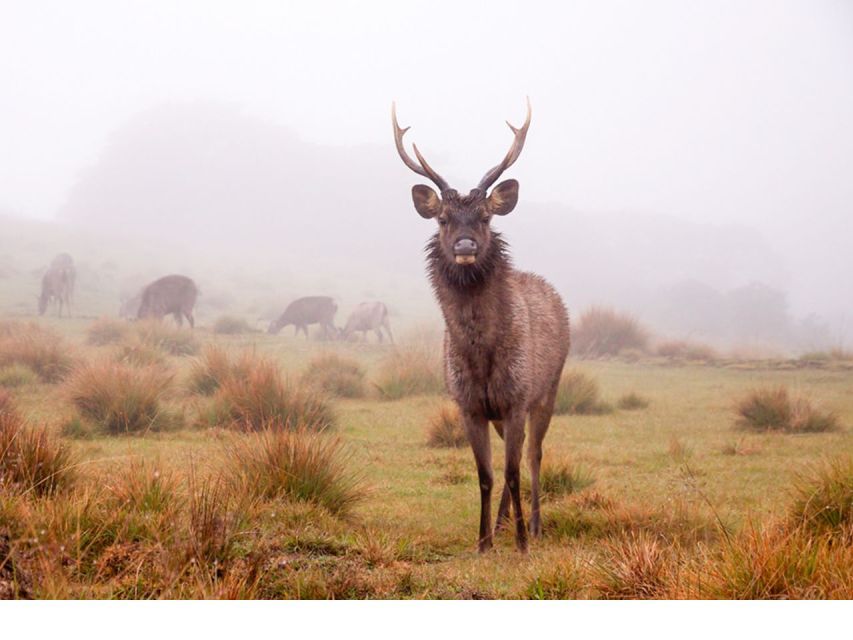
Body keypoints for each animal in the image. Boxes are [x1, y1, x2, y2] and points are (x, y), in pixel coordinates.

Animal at [392, 97, 564, 552]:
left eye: (486, 217)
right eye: (443, 219)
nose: (465, 246)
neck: (481, 358)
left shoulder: (517, 397)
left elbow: (513, 471)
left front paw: (521, 543)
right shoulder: (468, 404)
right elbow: (486, 475)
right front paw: (483, 540)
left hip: (549, 390)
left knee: (534, 456)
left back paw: (534, 525)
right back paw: (502, 523)